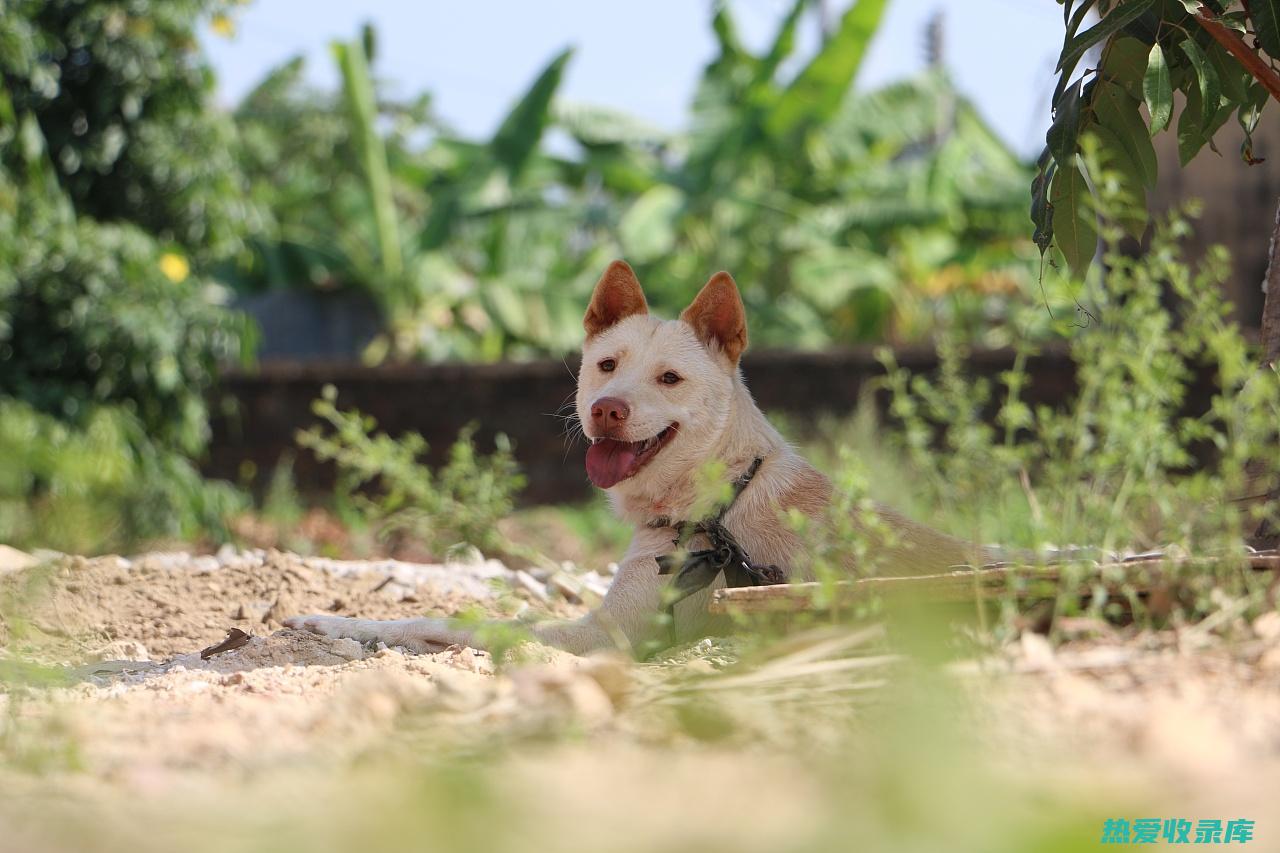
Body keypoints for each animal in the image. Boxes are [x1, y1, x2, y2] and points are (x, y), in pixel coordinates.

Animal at [290, 258, 988, 650]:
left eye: (669, 379)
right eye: (607, 365)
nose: (607, 410)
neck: (718, 500)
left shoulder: (605, 636)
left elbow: (463, 620)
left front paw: (346, 625)